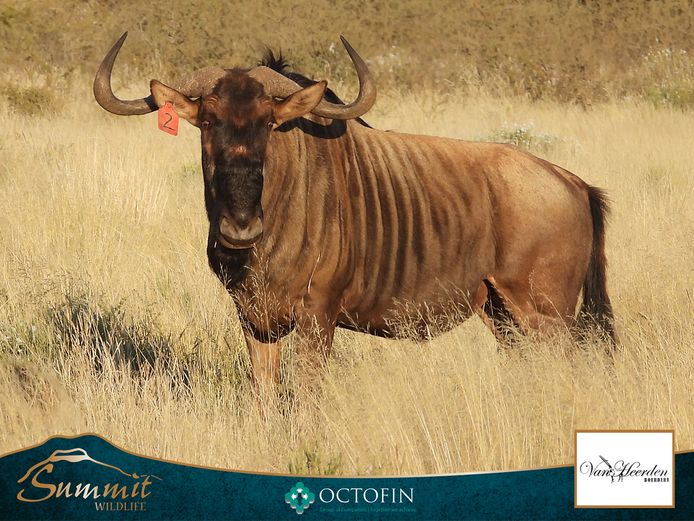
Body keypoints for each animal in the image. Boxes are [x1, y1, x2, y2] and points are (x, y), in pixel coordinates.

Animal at [94, 32, 615, 391]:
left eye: (270, 123)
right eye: (206, 121)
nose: (239, 227)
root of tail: (571, 181)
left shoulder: (317, 319)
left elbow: (305, 401)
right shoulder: (254, 321)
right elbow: (265, 398)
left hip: (549, 320)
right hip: (504, 316)